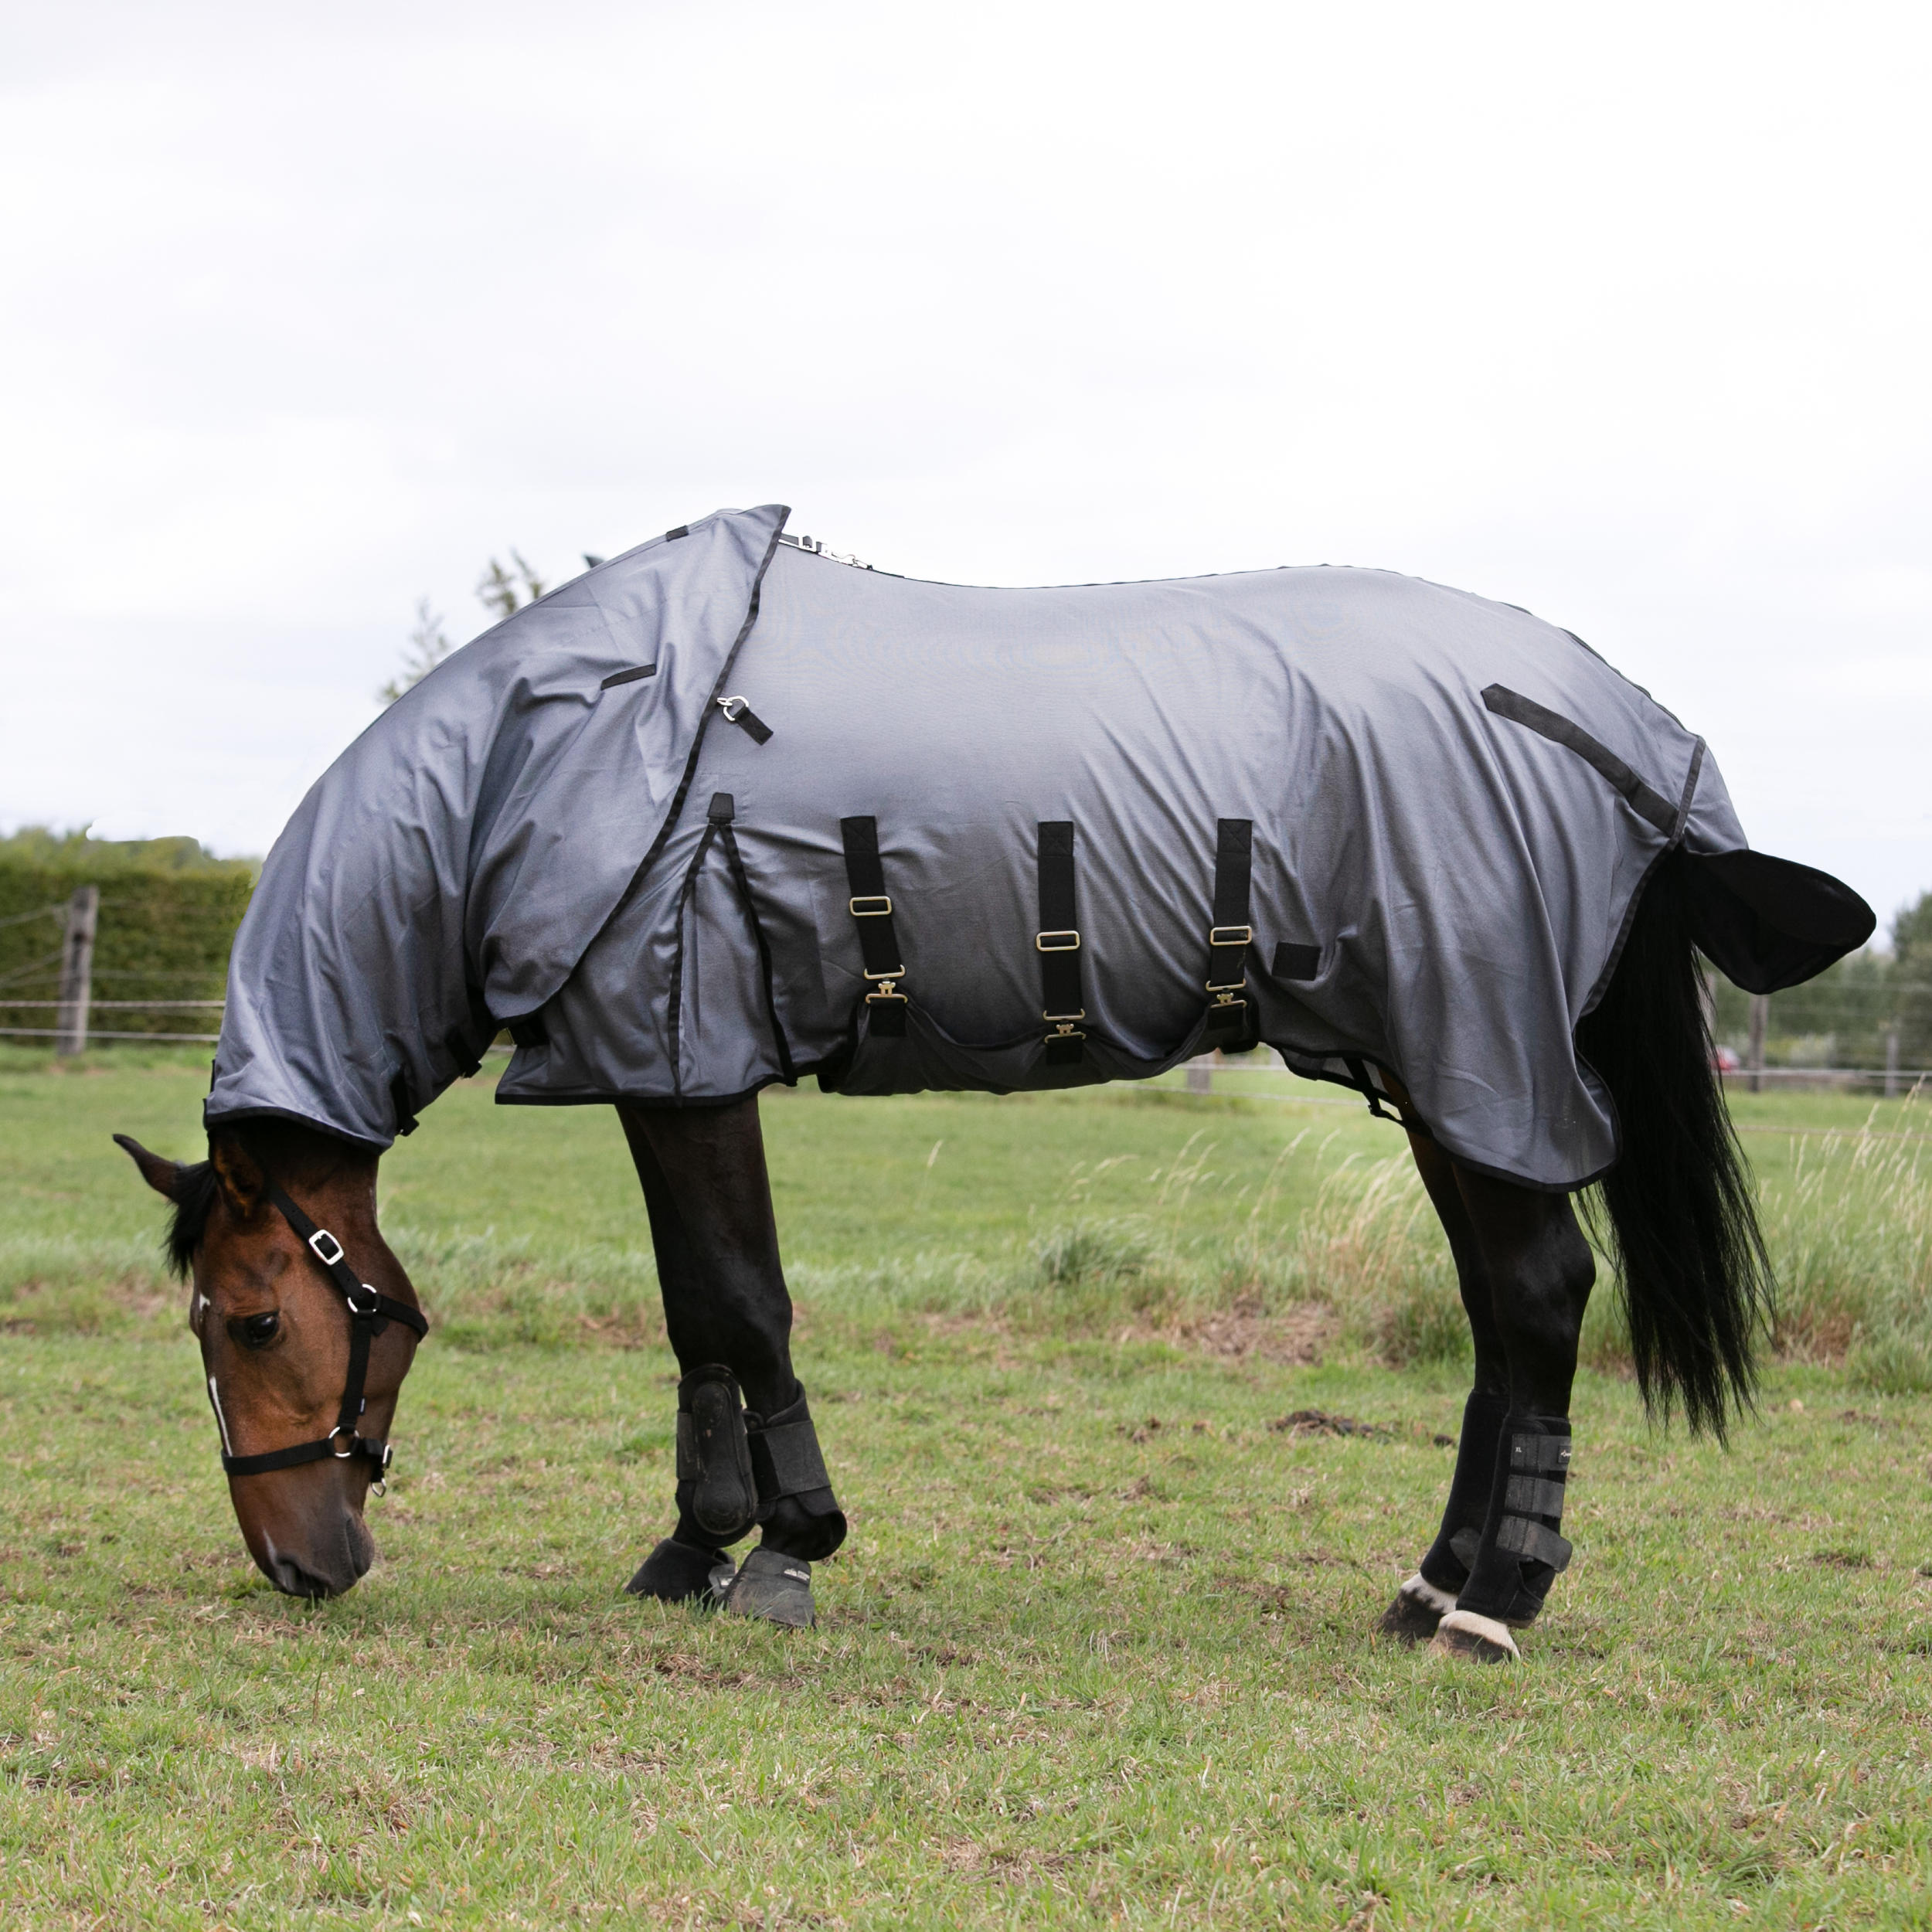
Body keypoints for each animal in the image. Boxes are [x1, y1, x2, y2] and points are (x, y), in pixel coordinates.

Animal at [116, 507, 1873, 1659]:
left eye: (253, 1319)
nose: (297, 1565)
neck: (576, 749)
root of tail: (1610, 725)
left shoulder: (688, 1062)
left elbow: (740, 1306)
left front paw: (787, 1554)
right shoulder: (654, 1064)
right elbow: (697, 1320)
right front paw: (693, 1546)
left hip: (1478, 1053)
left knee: (1533, 1293)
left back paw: (1490, 1607)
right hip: (1441, 1070)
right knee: (1518, 1308)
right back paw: (1435, 1584)